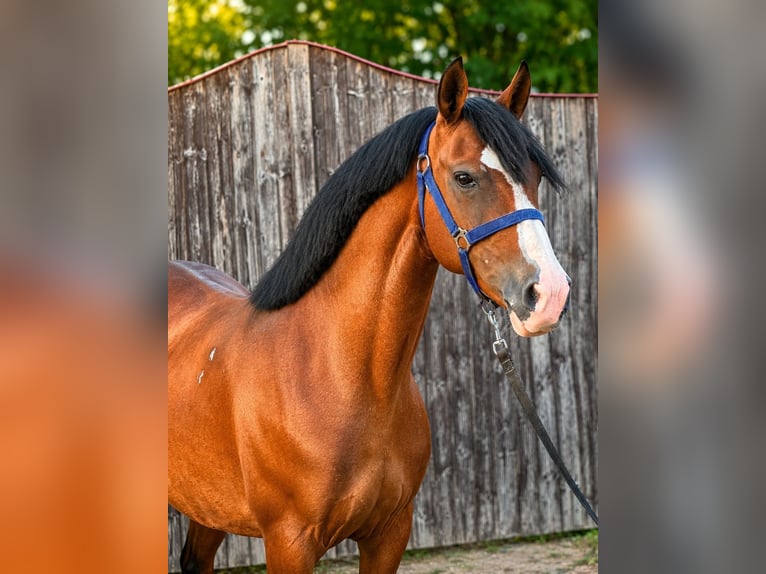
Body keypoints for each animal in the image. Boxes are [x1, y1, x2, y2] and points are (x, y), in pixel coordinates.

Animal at [168, 57, 570, 573]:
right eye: (465, 177)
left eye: (534, 176)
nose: (551, 294)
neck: (340, 377)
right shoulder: (288, 543)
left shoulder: (389, 535)